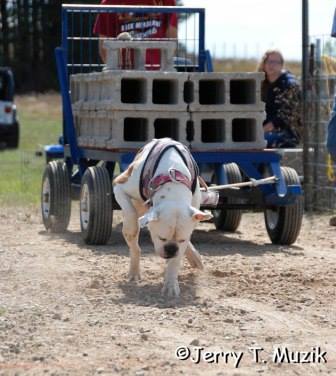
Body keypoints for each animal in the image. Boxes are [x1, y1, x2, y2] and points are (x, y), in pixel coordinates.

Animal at [113, 137, 213, 296]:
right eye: (161, 238)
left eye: (181, 239)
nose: (171, 250)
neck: (172, 179)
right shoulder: (119, 186)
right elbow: (130, 215)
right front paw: (131, 227)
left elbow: (177, 259)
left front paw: (171, 284)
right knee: (135, 242)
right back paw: (134, 272)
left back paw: (194, 258)